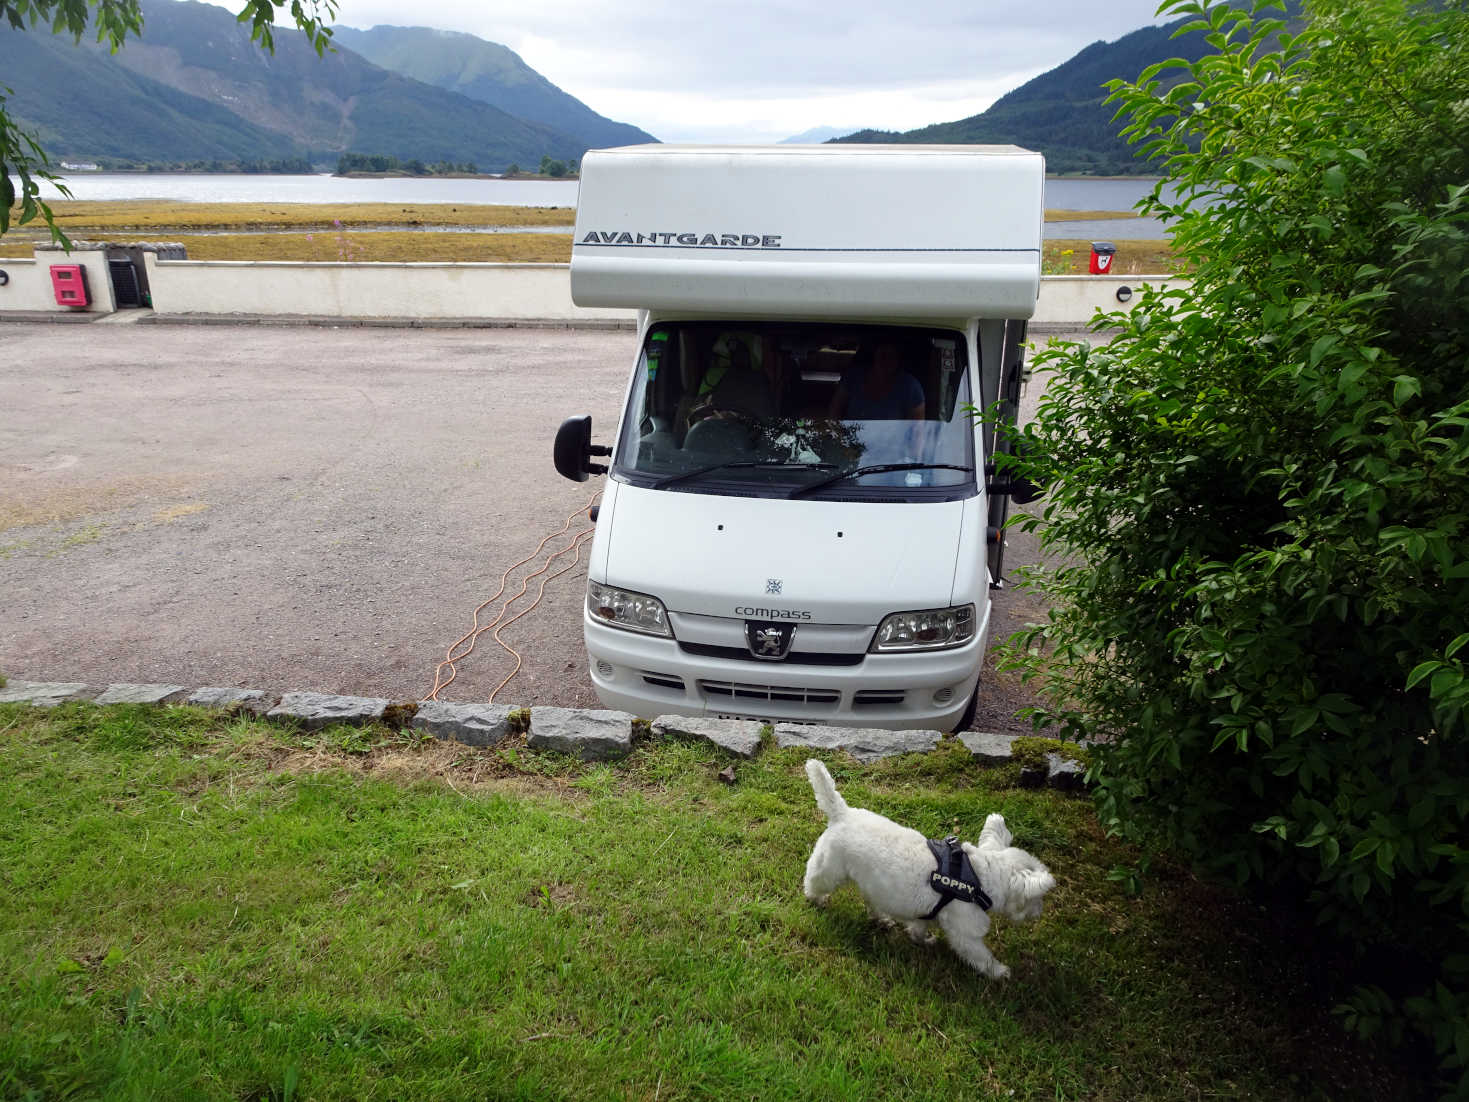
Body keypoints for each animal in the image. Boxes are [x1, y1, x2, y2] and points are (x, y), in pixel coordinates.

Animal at [805, 758, 1057, 981]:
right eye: (1037, 898)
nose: (1039, 912)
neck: (978, 879)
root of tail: (842, 813)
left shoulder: (925, 913)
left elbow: (918, 929)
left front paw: (922, 941)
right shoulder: (966, 933)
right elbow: (982, 957)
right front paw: (1000, 972)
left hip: (871, 883)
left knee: (871, 901)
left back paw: (882, 919)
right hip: (828, 869)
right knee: (813, 882)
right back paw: (815, 899)